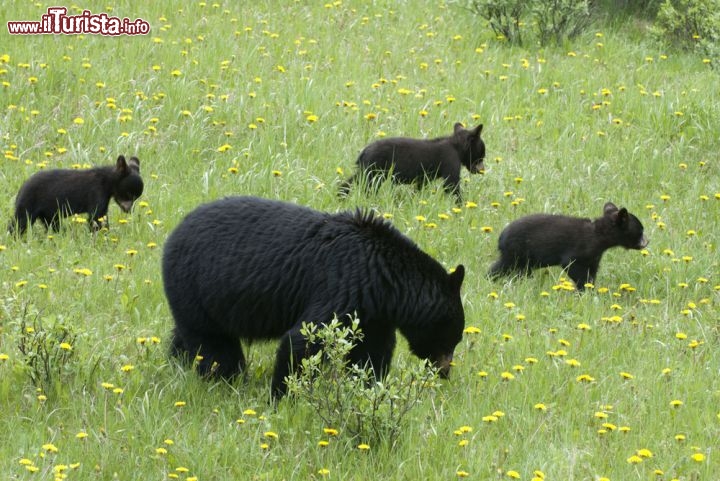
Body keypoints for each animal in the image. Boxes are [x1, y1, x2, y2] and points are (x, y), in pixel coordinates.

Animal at [10, 155, 143, 233]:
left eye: (136, 197)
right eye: (129, 194)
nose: (129, 210)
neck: (107, 182)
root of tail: (21, 188)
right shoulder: (96, 193)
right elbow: (96, 217)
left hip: (48, 212)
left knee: (52, 223)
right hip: (29, 202)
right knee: (20, 222)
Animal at [162, 195, 466, 398]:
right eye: (453, 337)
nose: (445, 372)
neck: (385, 278)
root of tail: (173, 235)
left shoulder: (372, 313)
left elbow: (371, 353)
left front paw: (367, 387)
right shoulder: (344, 284)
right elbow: (305, 340)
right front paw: (283, 396)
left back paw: (177, 361)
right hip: (196, 286)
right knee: (215, 347)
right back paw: (225, 382)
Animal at [340, 123, 486, 203]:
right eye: (482, 154)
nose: (482, 169)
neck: (457, 147)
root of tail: (363, 151)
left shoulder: (424, 178)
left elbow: (419, 186)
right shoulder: (450, 160)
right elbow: (452, 185)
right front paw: (460, 207)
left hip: (367, 169)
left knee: (352, 180)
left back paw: (341, 194)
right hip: (374, 170)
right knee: (368, 185)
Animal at [490, 202, 648, 288]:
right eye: (641, 230)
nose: (647, 242)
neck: (598, 236)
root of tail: (501, 237)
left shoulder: (594, 257)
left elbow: (592, 270)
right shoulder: (579, 249)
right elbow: (572, 265)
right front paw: (584, 288)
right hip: (516, 253)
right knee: (502, 267)